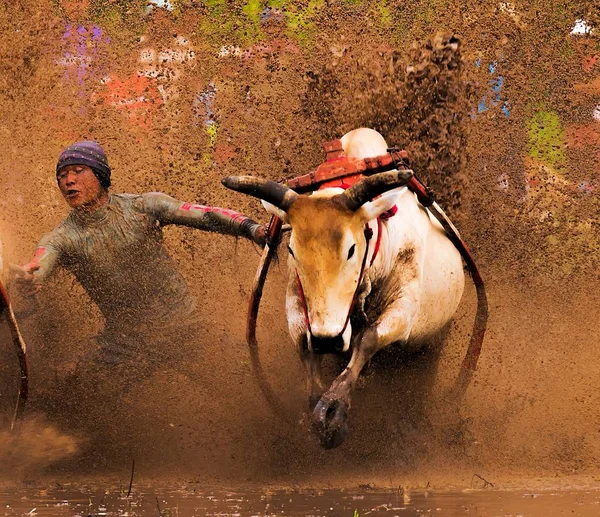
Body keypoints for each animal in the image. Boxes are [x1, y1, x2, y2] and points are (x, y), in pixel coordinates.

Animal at [224, 128, 464, 448]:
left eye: (351, 249)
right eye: (291, 249)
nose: (327, 340)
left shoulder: (404, 309)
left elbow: (367, 340)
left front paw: (335, 407)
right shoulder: (297, 302)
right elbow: (304, 343)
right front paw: (318, 401)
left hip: (431, 349)